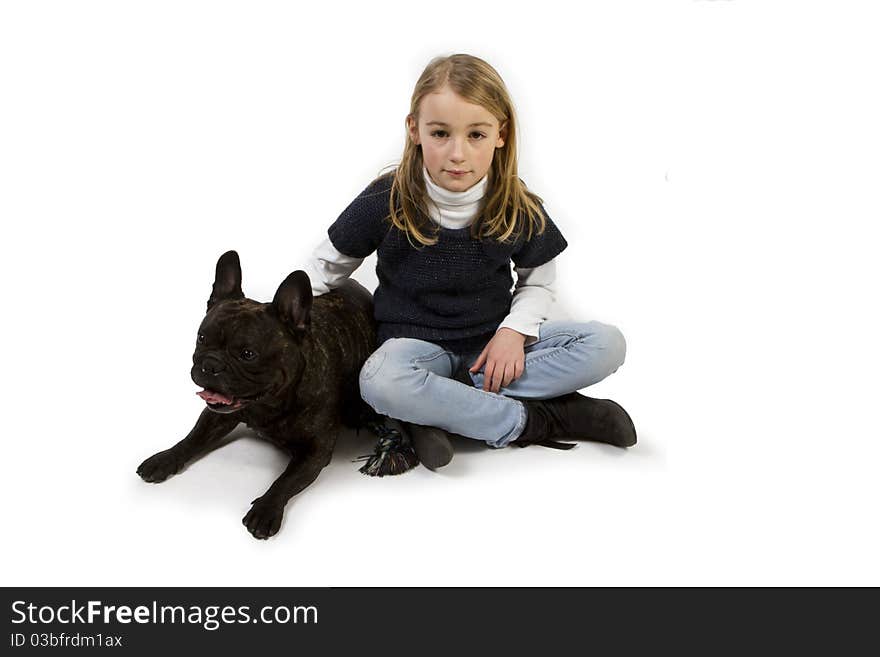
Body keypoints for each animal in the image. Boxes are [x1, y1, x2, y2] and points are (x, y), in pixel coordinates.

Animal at [136, 251, 376, 540]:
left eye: (248, 354)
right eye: (201, 338)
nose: (211, 364)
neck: (268, 404)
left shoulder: (315, 451)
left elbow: (285, 480)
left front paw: (265, 509)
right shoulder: (216, 417)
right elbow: (192, 439)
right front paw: (165, 458)